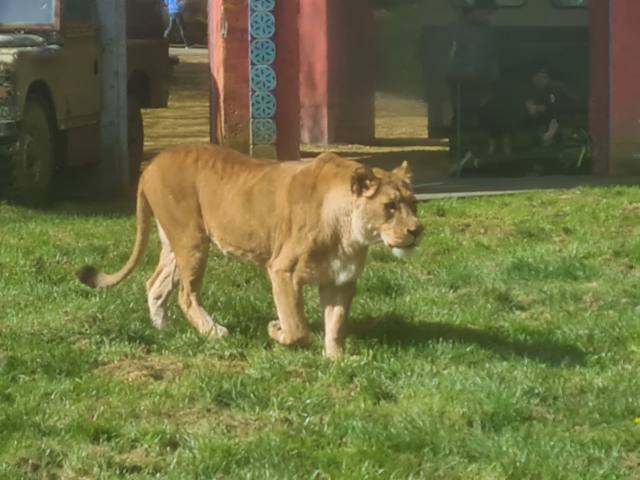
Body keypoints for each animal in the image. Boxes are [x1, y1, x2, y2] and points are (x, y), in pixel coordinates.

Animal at [77, 145, 423, 359]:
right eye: (390, 206)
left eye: (413, 204)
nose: (417, 230)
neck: (352, 235)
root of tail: (152, 163)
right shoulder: (283, 270)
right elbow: (297, 327)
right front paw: (276, 329)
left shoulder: (341, 280)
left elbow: (336, 324)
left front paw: (336, 359)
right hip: (192, 240)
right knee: (186, 294)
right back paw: (213, 332)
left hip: (175, 244)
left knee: (155, 285)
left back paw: (164, 331)